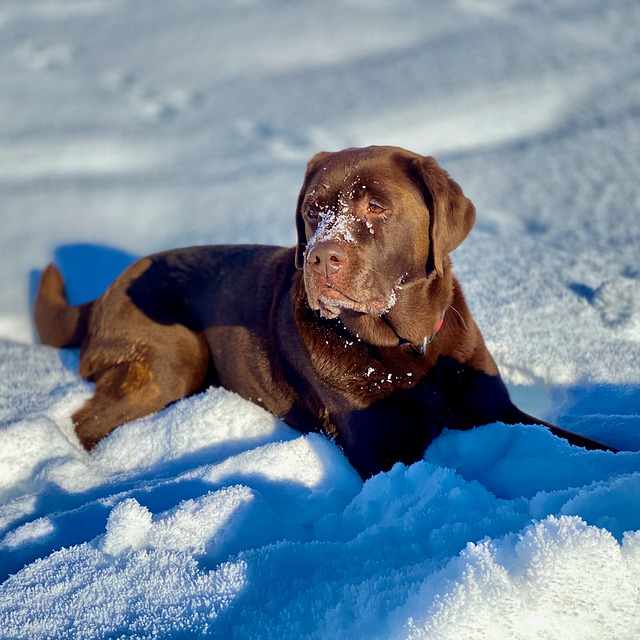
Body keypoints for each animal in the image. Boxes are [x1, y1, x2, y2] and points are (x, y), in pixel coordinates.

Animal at [35, 144, 616, 476]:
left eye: (376, 206)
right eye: (314, 210)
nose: (318, 257)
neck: (409, 349)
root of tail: (105, 290)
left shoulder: (498, 408)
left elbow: (583, 442)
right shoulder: (385, 449)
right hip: (174, 354)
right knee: (87, 421)